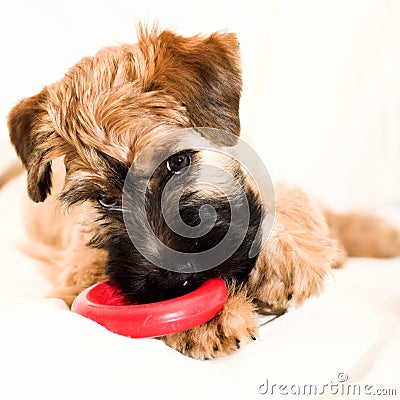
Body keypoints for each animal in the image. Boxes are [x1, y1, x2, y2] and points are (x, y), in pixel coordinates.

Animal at [7, 27, 400, 360]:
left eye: (177, 162)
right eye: (104, 200)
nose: (171, 280)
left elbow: (288, 201)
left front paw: (288, 261)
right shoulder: (76, 275)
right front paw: (208, 320)